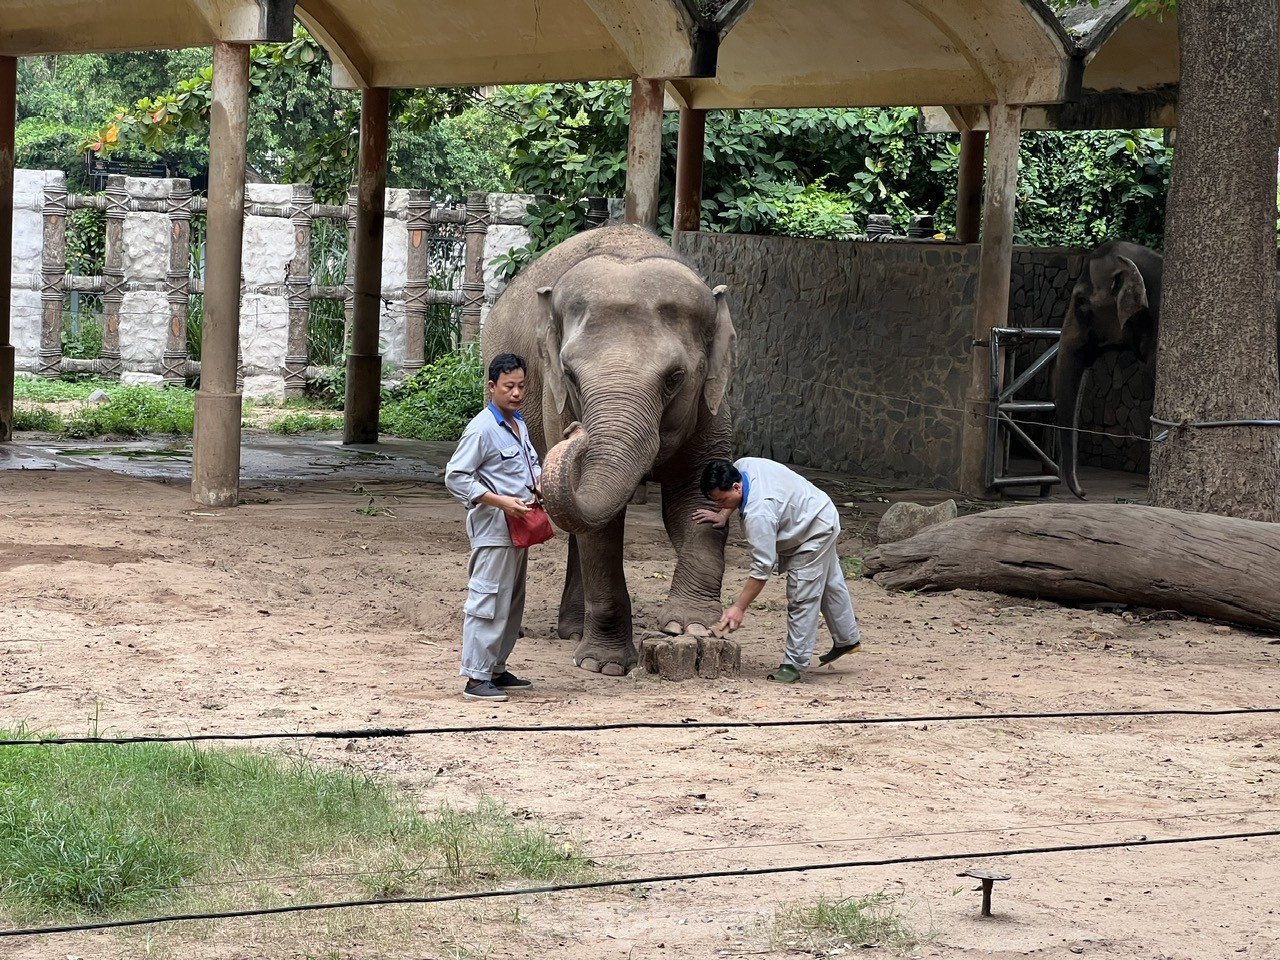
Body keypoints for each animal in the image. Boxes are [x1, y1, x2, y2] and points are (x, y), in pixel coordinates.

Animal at [481, 225, 742, 675]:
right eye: (570, 375)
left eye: (675, 378)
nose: (576, 431)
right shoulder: (555, 401)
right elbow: (601, 530)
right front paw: (603, 666)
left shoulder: (712, 402)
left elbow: (695, 498)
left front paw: (690, 628)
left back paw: (572, 631)